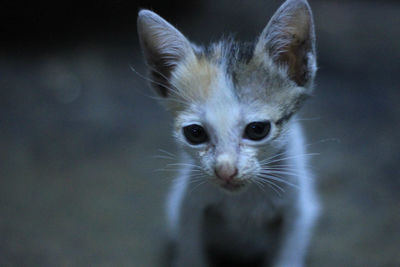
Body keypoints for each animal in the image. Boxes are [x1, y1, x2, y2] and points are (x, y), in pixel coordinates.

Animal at [138, 1, 318, 266]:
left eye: (257, 130)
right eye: (195, 133)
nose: (225, 171)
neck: (243, 201)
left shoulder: (299, 210)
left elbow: (288, 254)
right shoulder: (189, 207)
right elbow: (191, 252)